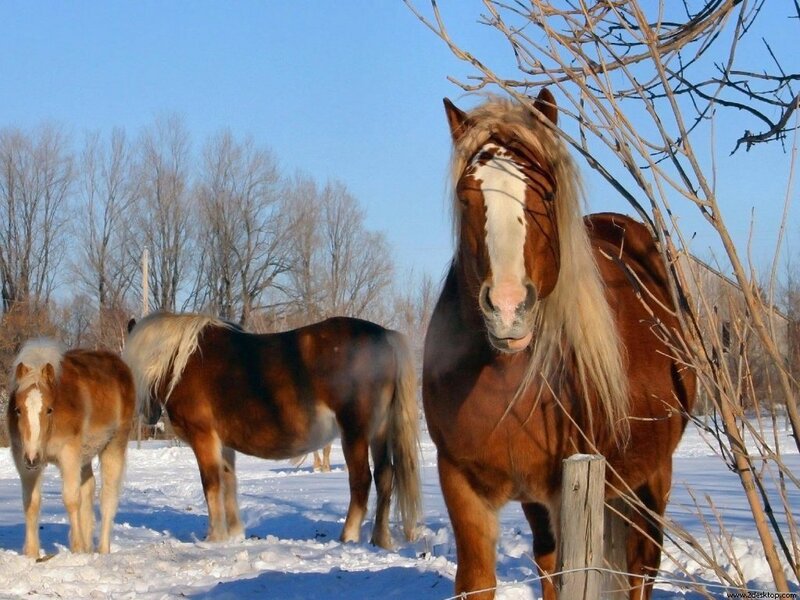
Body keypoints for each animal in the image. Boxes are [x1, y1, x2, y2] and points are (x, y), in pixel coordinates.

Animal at [6, 339, 135, 558]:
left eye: (49, 409)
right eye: (18, 409)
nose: (32, 458)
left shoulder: (68, 455)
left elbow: (71, 499)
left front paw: (77, 549)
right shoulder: (23, 460)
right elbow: (31, 503)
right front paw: (32, 554)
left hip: (114, 445)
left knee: (108, 498)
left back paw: (102, 550)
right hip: (85, 455)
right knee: (89, 490)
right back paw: (89, 547)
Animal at [122, 312, 421, 549]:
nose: (149, 415)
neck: (184, 364)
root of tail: (385, 337)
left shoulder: (203, 438)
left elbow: (212, 485)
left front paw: (214, 537)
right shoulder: (224, 443)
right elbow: (229, 483)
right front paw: (235, 534)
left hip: (355, 434)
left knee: (361, 481)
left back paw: (348, 536)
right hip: (379, 432)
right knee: (385, 476)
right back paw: (380, 539)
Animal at [423, 89, 696, 600]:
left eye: (547, 193)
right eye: (466, 197)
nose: (508, 306)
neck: (505, 380)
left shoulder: (566, 489)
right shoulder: (462, 486)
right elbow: (479, 581)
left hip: (652, 478)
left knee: (641, 569)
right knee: (550, 561)